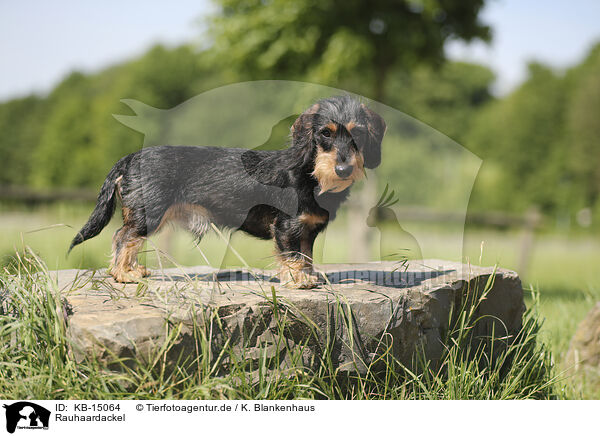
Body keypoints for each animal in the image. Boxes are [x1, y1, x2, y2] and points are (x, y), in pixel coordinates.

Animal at [70, 94, 386, 290]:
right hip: (149, 215)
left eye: (358, 134)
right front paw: (298, 281)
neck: (310, 173)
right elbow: (293, 256)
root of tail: (130, 158)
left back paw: (133, 270)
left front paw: (308, 276)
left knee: (127, 239)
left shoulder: (307, 230)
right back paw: (123, 274)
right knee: (123, 237)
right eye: (325, 133)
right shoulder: (286, 227)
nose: (343, 169)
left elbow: (305, 256)